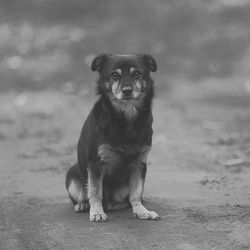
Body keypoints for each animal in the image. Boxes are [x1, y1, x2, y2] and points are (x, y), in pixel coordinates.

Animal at [65, 53, 159, 222]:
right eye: (115, 75)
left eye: (137, 74)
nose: (127, 91)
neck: (126, 117)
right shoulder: (96, 163)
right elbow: (95, 191)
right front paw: (97, 212)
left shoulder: (139, 163)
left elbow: (136, 192)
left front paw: (141, 211)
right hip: (72, 174)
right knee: (85, 195)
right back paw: (83, 205)